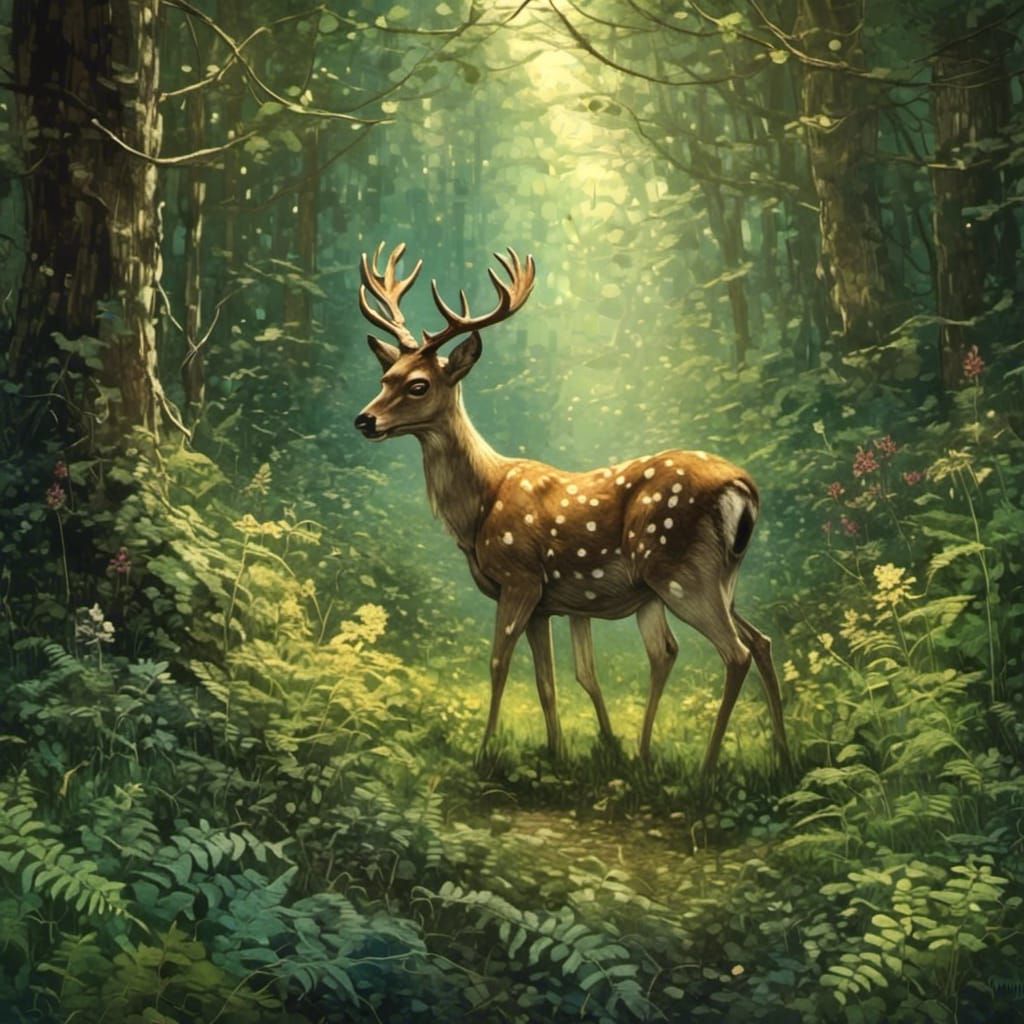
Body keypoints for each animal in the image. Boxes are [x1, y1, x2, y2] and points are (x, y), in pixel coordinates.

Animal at [353, 243, 791, 779]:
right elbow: (547, 680)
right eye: (384, 376)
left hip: (681, 570)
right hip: (720, 577)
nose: (364, 420)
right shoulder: (545, 602)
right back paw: (780, 756)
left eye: (418, 385)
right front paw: (556, 752)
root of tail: (744, 489)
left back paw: (707, 769)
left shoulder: (519, 577)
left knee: (736, 652)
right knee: (761, 642)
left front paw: (485, 753)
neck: (479, 505)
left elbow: (498, 663)